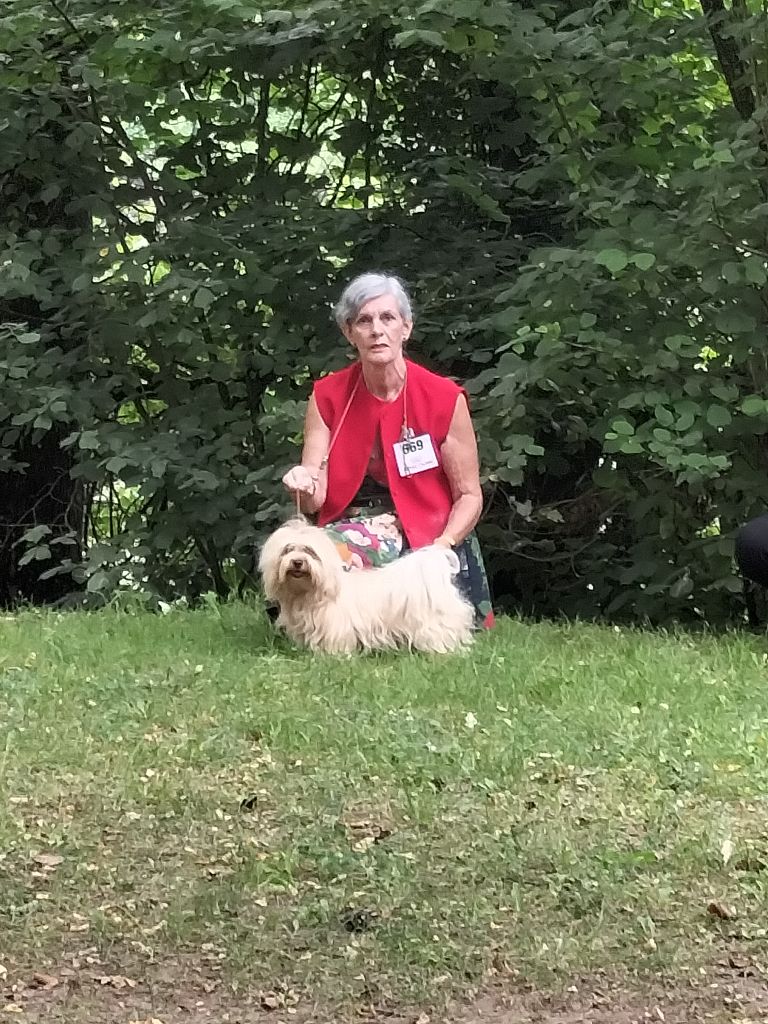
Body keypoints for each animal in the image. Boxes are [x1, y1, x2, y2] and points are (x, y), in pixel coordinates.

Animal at [259, 520, 475, 655]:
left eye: (310, 551)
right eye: (287, 550)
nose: (297, 562)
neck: (309, 594)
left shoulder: (336, 627)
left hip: (435, 624)